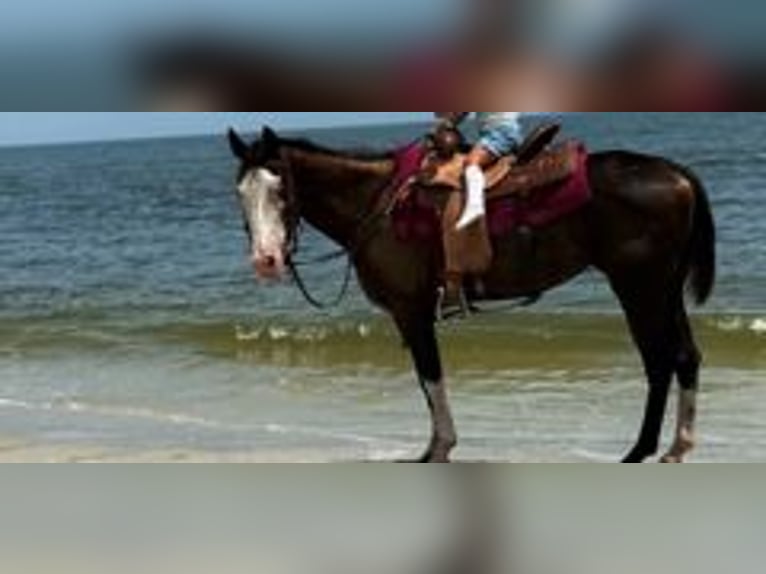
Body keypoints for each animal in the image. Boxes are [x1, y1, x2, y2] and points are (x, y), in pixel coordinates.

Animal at [227, 125, 716, 463]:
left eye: (280, 187)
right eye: (241, 192)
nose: (266, 261)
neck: (377, 203)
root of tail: (677, 175)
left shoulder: (411, 312)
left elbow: (430, 378)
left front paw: (439, 448)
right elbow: (427, 381)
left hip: (639, 286)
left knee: (659, 360)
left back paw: (640, 450)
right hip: (664, 289)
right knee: (685, 356)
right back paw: (677, 447)